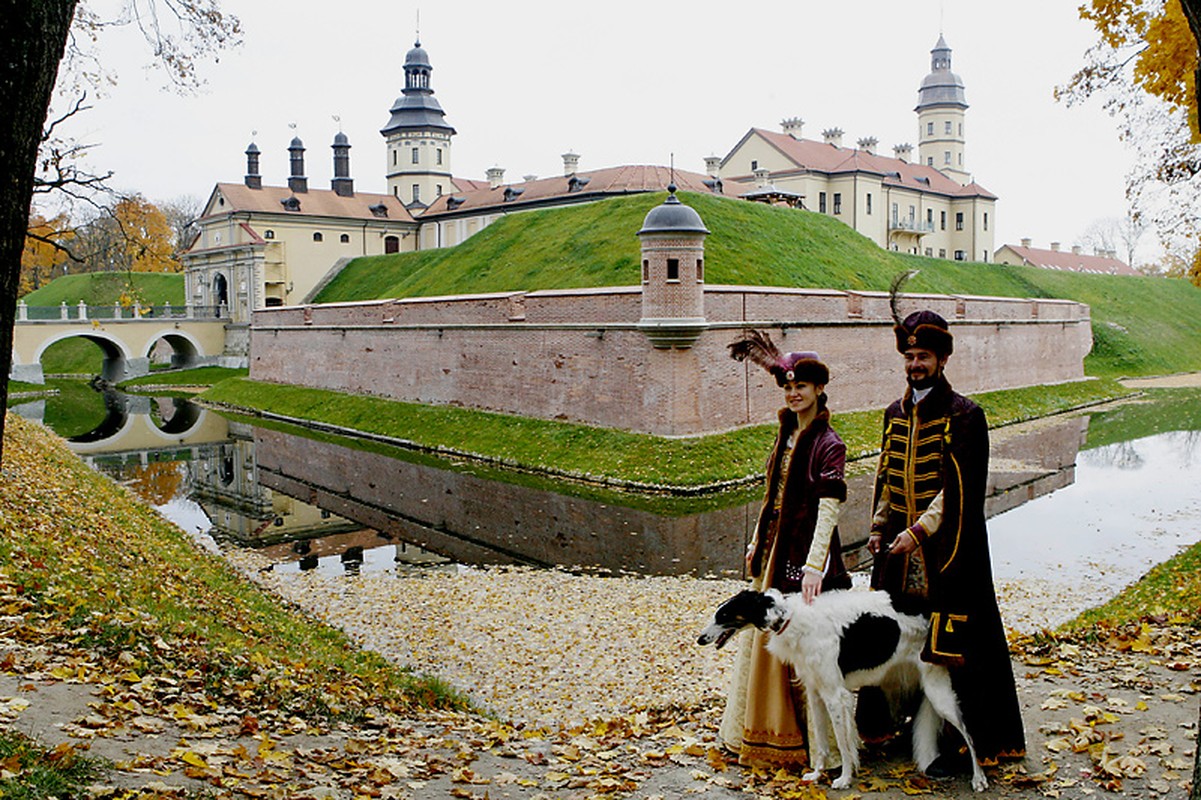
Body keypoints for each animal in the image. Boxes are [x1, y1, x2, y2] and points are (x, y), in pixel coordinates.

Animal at [696, 588, 984, 787]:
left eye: (723, 615)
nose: (700, 639)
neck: (789, 618)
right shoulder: (815, 692)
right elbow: (822, 743)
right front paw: (816, 774)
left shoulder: (836, 695)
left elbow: (845, 744)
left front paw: (845, 779)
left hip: (939, 693)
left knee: (969, 734)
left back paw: (979, 779)